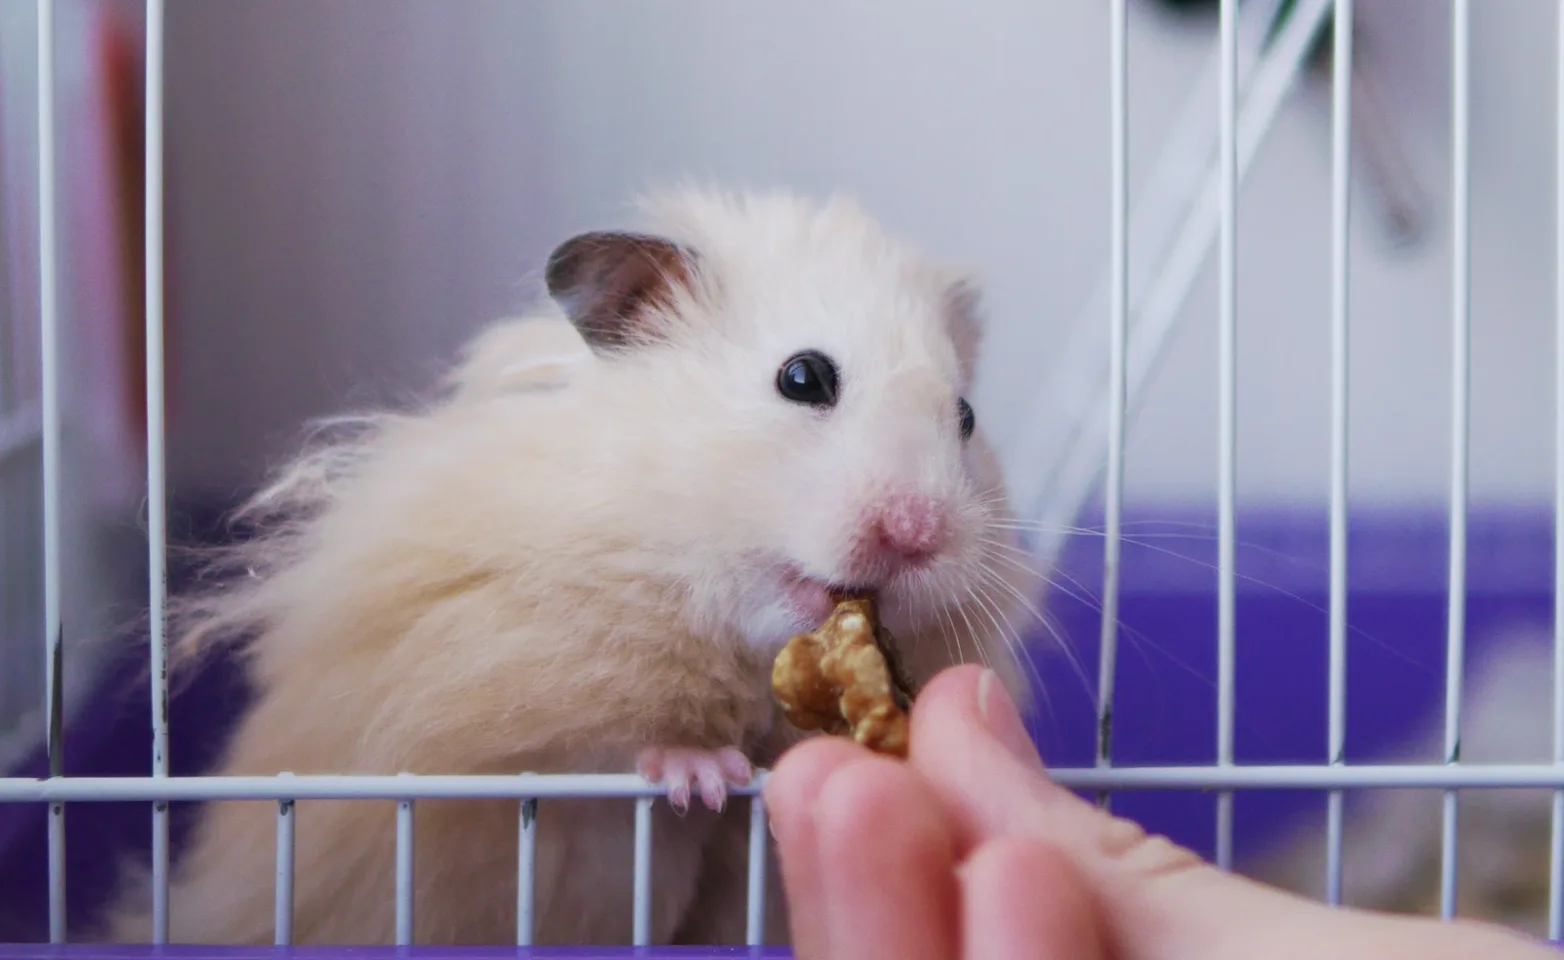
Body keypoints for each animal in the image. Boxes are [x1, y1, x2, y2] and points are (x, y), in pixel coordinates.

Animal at [104, 186, 1044, 950]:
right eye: (804, 377)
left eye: (965, 417)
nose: (918, 533)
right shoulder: (490, 699)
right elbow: (597, 749)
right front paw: (705, 778)